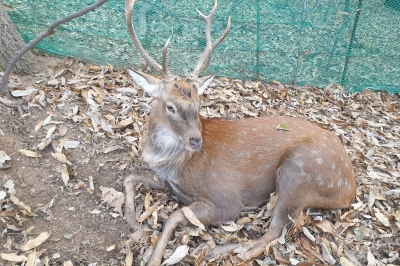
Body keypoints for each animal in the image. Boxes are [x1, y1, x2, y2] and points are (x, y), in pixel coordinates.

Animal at [123, 1, 358, 264]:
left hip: (301, 171)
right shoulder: (166, 181)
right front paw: (133, 222)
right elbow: (129, 177)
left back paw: (215, 250)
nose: (196, 140)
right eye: (170, 106)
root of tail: (350, 189)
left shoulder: (226, 199)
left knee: (274, 233)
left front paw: (153, 258)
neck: (176, 164)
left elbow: (173, 217)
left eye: (199, 103)